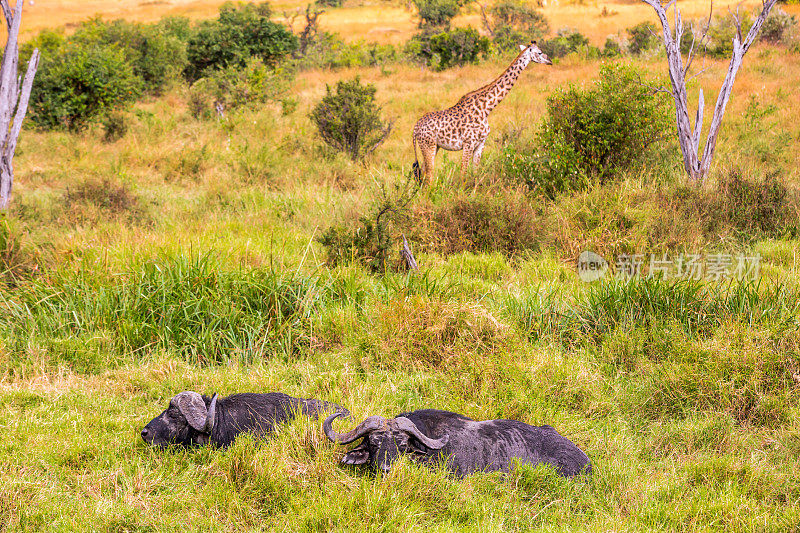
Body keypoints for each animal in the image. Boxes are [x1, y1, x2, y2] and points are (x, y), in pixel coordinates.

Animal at [412, 40, 552, 181]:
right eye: (539, 52)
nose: (550, 61)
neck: (486, 109)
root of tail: (415, 128)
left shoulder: (480, 144)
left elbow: (475, 172)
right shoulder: (468, 143)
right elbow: (463, 174)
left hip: (435, 146)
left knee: (424, 173)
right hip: (428, 145)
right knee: (429, 175)